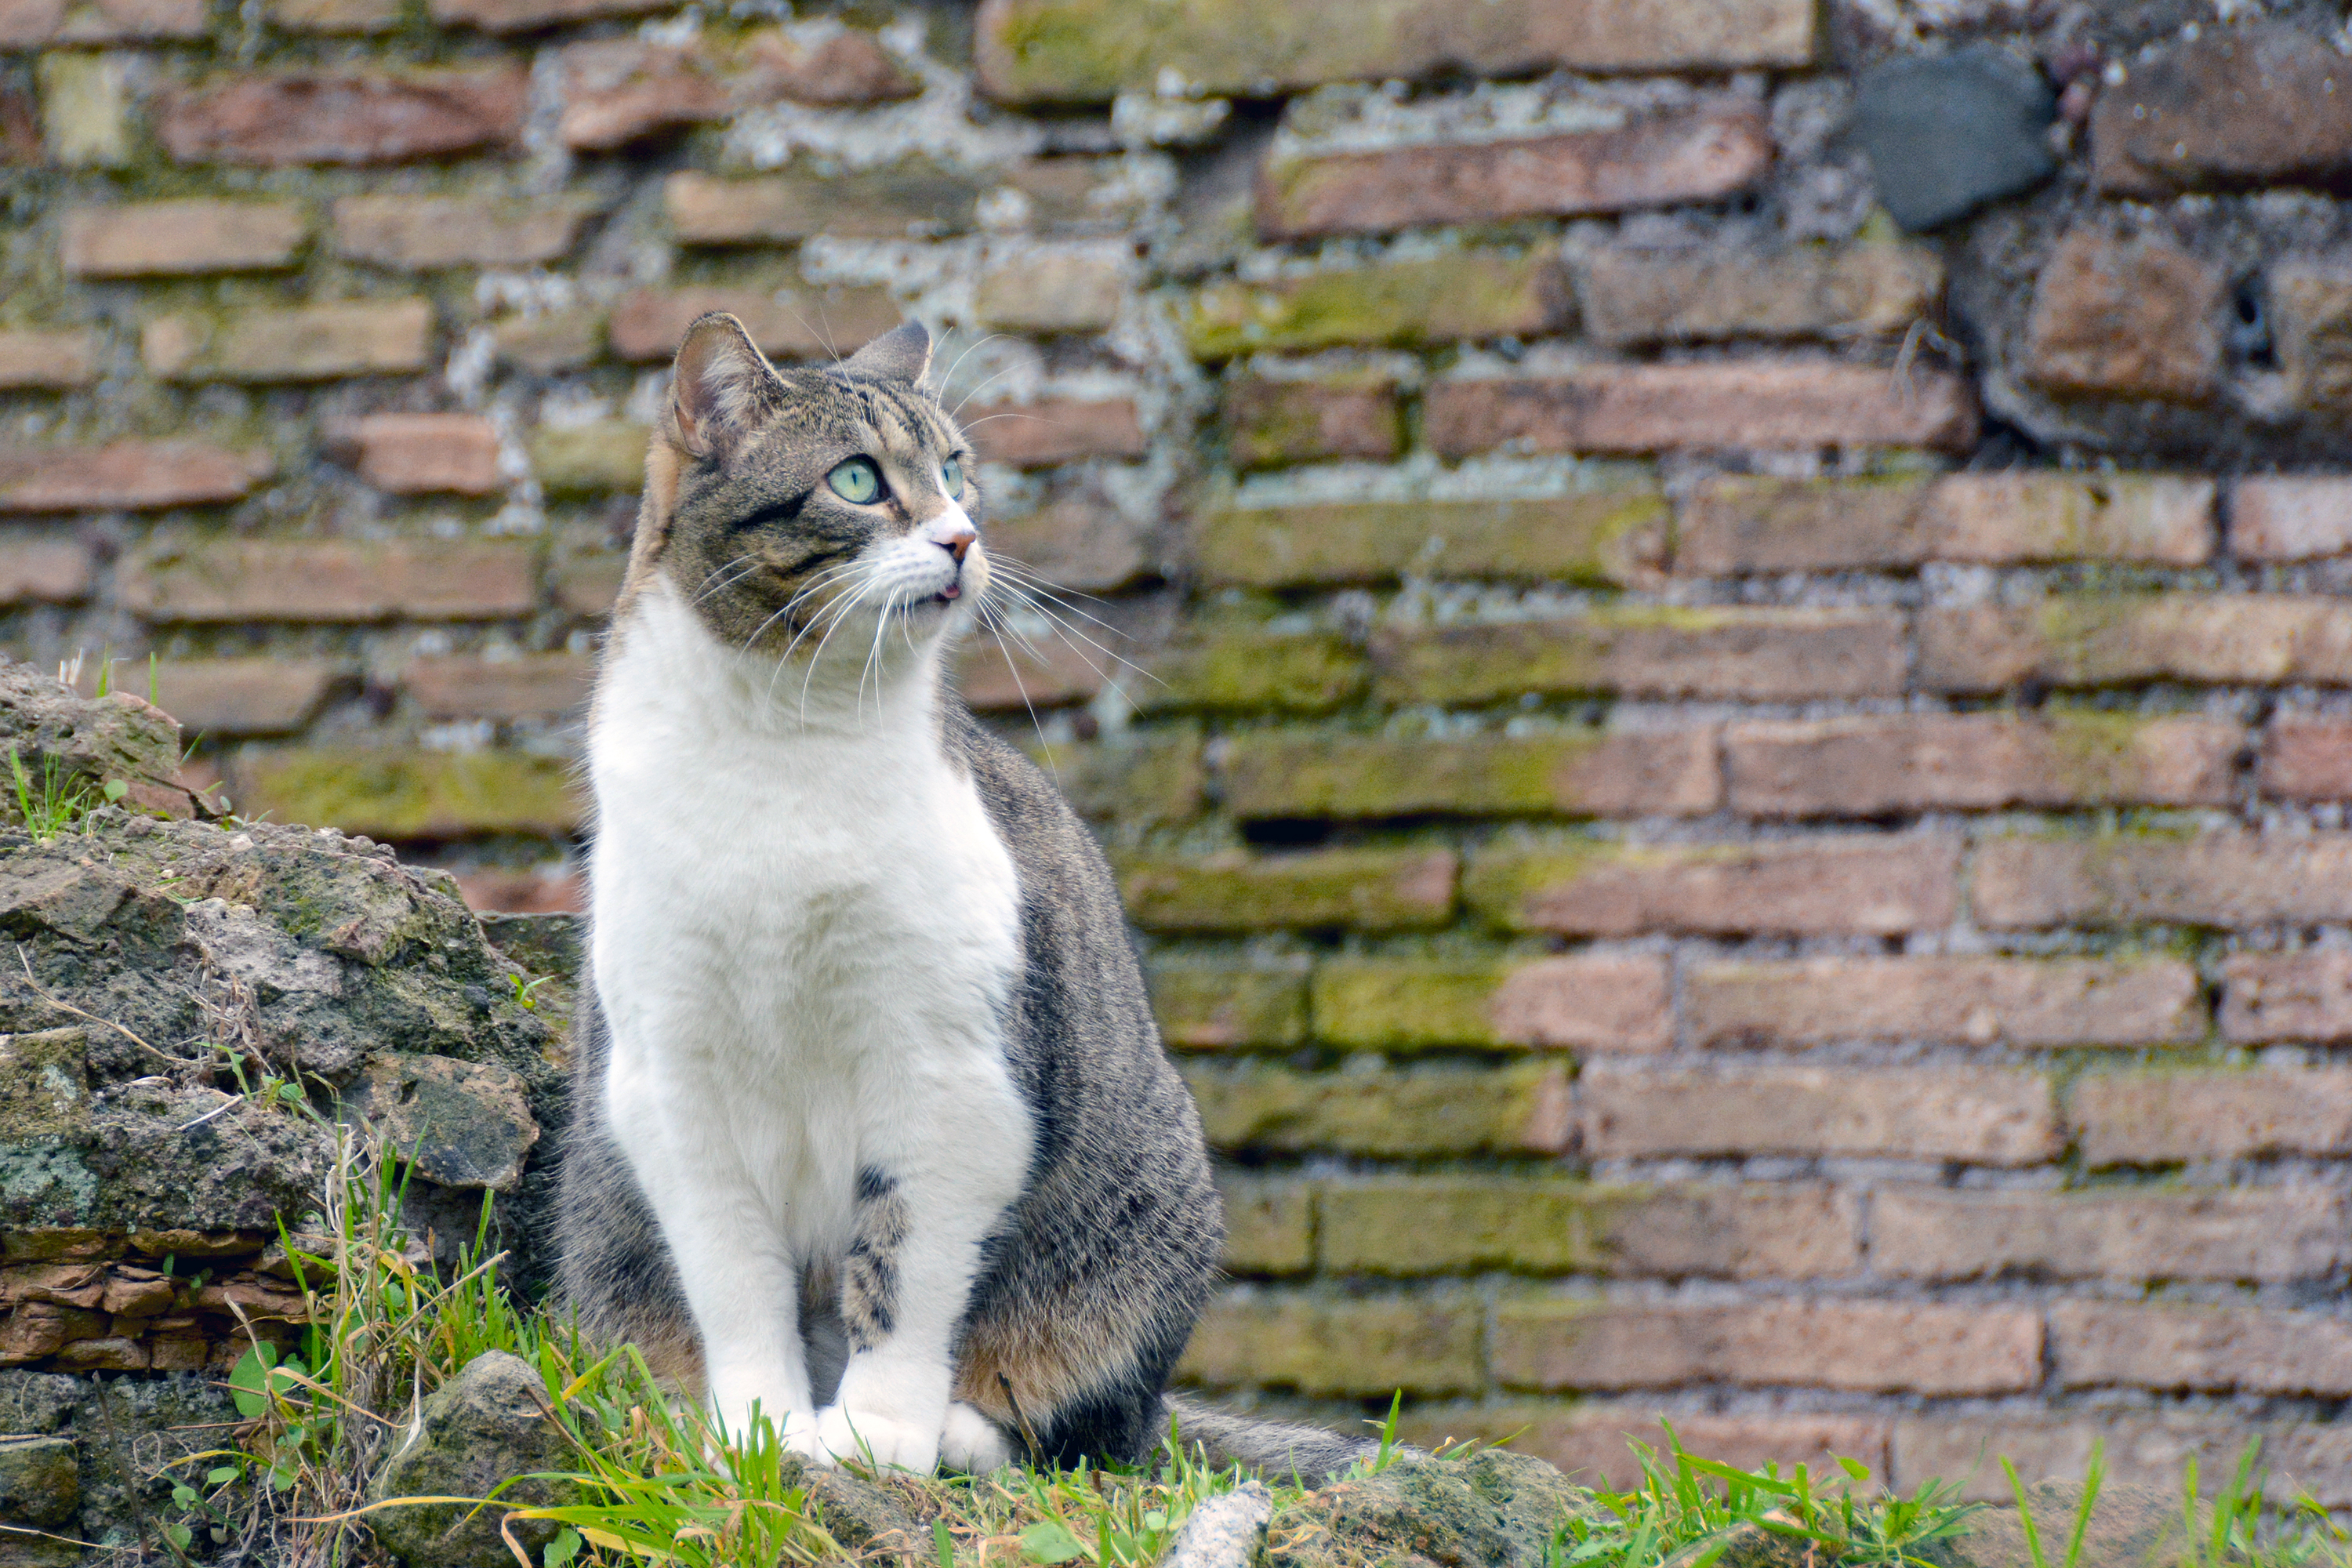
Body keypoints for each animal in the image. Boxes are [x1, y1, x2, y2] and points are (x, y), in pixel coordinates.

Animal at [557, 310, 1374, 1486]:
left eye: (953, 471)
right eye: (857, 479)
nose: (961, 538)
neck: (788, 738)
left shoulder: (949, 1070)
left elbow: (903, 1269)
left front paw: (874, 1436)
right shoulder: (672, 1081)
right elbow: (735, 1278)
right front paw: (760, 1432)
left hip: (1138, 1228)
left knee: (1099, 1424)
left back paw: (966, 1430)